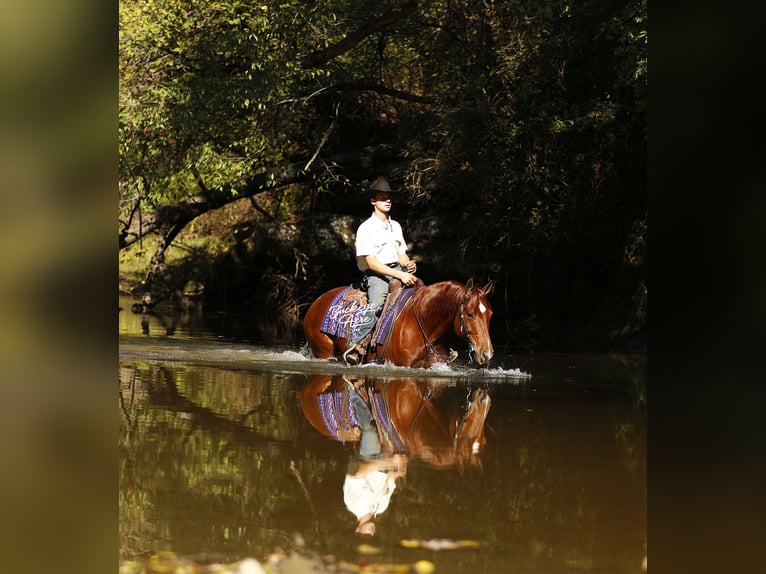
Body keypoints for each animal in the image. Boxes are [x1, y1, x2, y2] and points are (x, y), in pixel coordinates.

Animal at [302, 279, 495, 368]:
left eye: (490, 314)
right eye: (469, 314)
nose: (486, 354)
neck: (423, 322)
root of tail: (317, 302)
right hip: (323, 350)